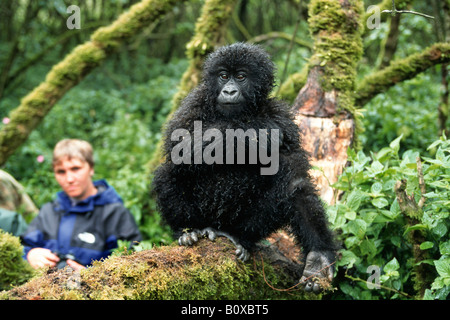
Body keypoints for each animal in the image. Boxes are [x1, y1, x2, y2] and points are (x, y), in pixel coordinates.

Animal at [151, 42, 338, 292]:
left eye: (241, 77)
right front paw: (256, 131)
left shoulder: (284, 119)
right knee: (169, 171)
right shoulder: (193, 103)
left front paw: (320, 256)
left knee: (290, 184)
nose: (229, 91)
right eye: (223, 76)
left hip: (242, 224)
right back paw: (187, 231)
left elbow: (296, 174)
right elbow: (180, 145)